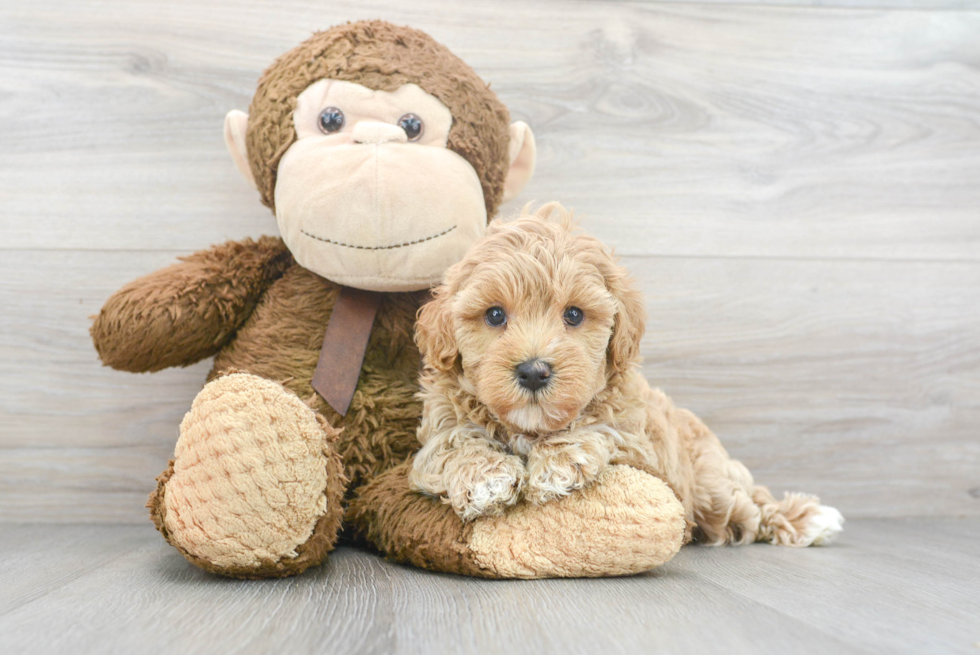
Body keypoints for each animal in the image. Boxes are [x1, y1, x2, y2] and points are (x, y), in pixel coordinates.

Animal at [410, 201, 848, 548]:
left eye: (574, 315)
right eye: (495, 315)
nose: (534, 372)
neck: (530, 430)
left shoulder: (639, 446)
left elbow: (599, 426)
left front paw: (556, 464)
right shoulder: (436, 433)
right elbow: (453, 443)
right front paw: (486, 477)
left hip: (712, 487)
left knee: (752, 507)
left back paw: (806, 520)